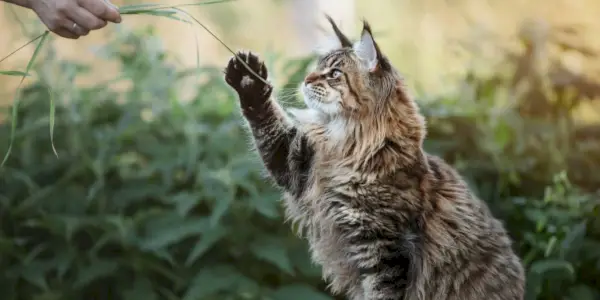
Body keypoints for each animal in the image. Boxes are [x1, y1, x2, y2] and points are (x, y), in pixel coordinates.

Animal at [221, 15, 524, 300]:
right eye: (316, 68)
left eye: (333, 74)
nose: (306, 81)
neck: (348, 147)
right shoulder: (297, 162)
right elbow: (266, 121)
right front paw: (249, 79)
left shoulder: (383, 248)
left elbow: (381, 291)